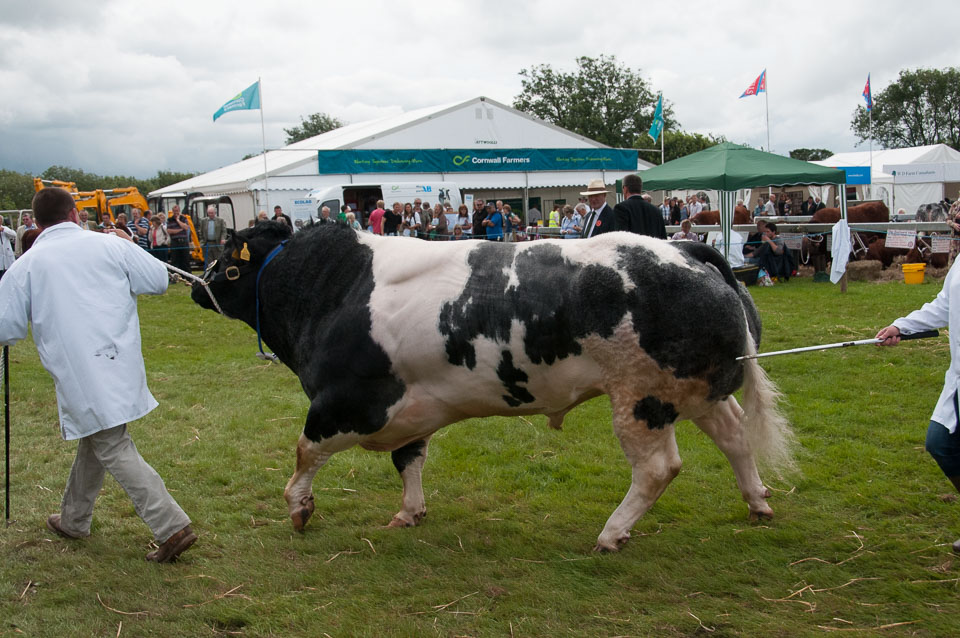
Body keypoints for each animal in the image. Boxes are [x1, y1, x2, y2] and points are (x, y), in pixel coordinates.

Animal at [191, 222, 792, 552]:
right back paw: (757, 503)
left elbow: (304, 451)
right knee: (735, 435)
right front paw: (410, 512)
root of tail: (688, 249)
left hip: (642, 399)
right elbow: (409, 460)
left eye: (226, 262)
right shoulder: (412, 408)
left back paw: (611, 533)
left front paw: (299, 507)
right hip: (697, 389)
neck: (332, 289)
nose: (196, 287)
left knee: (658, 469)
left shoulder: (348, 403)